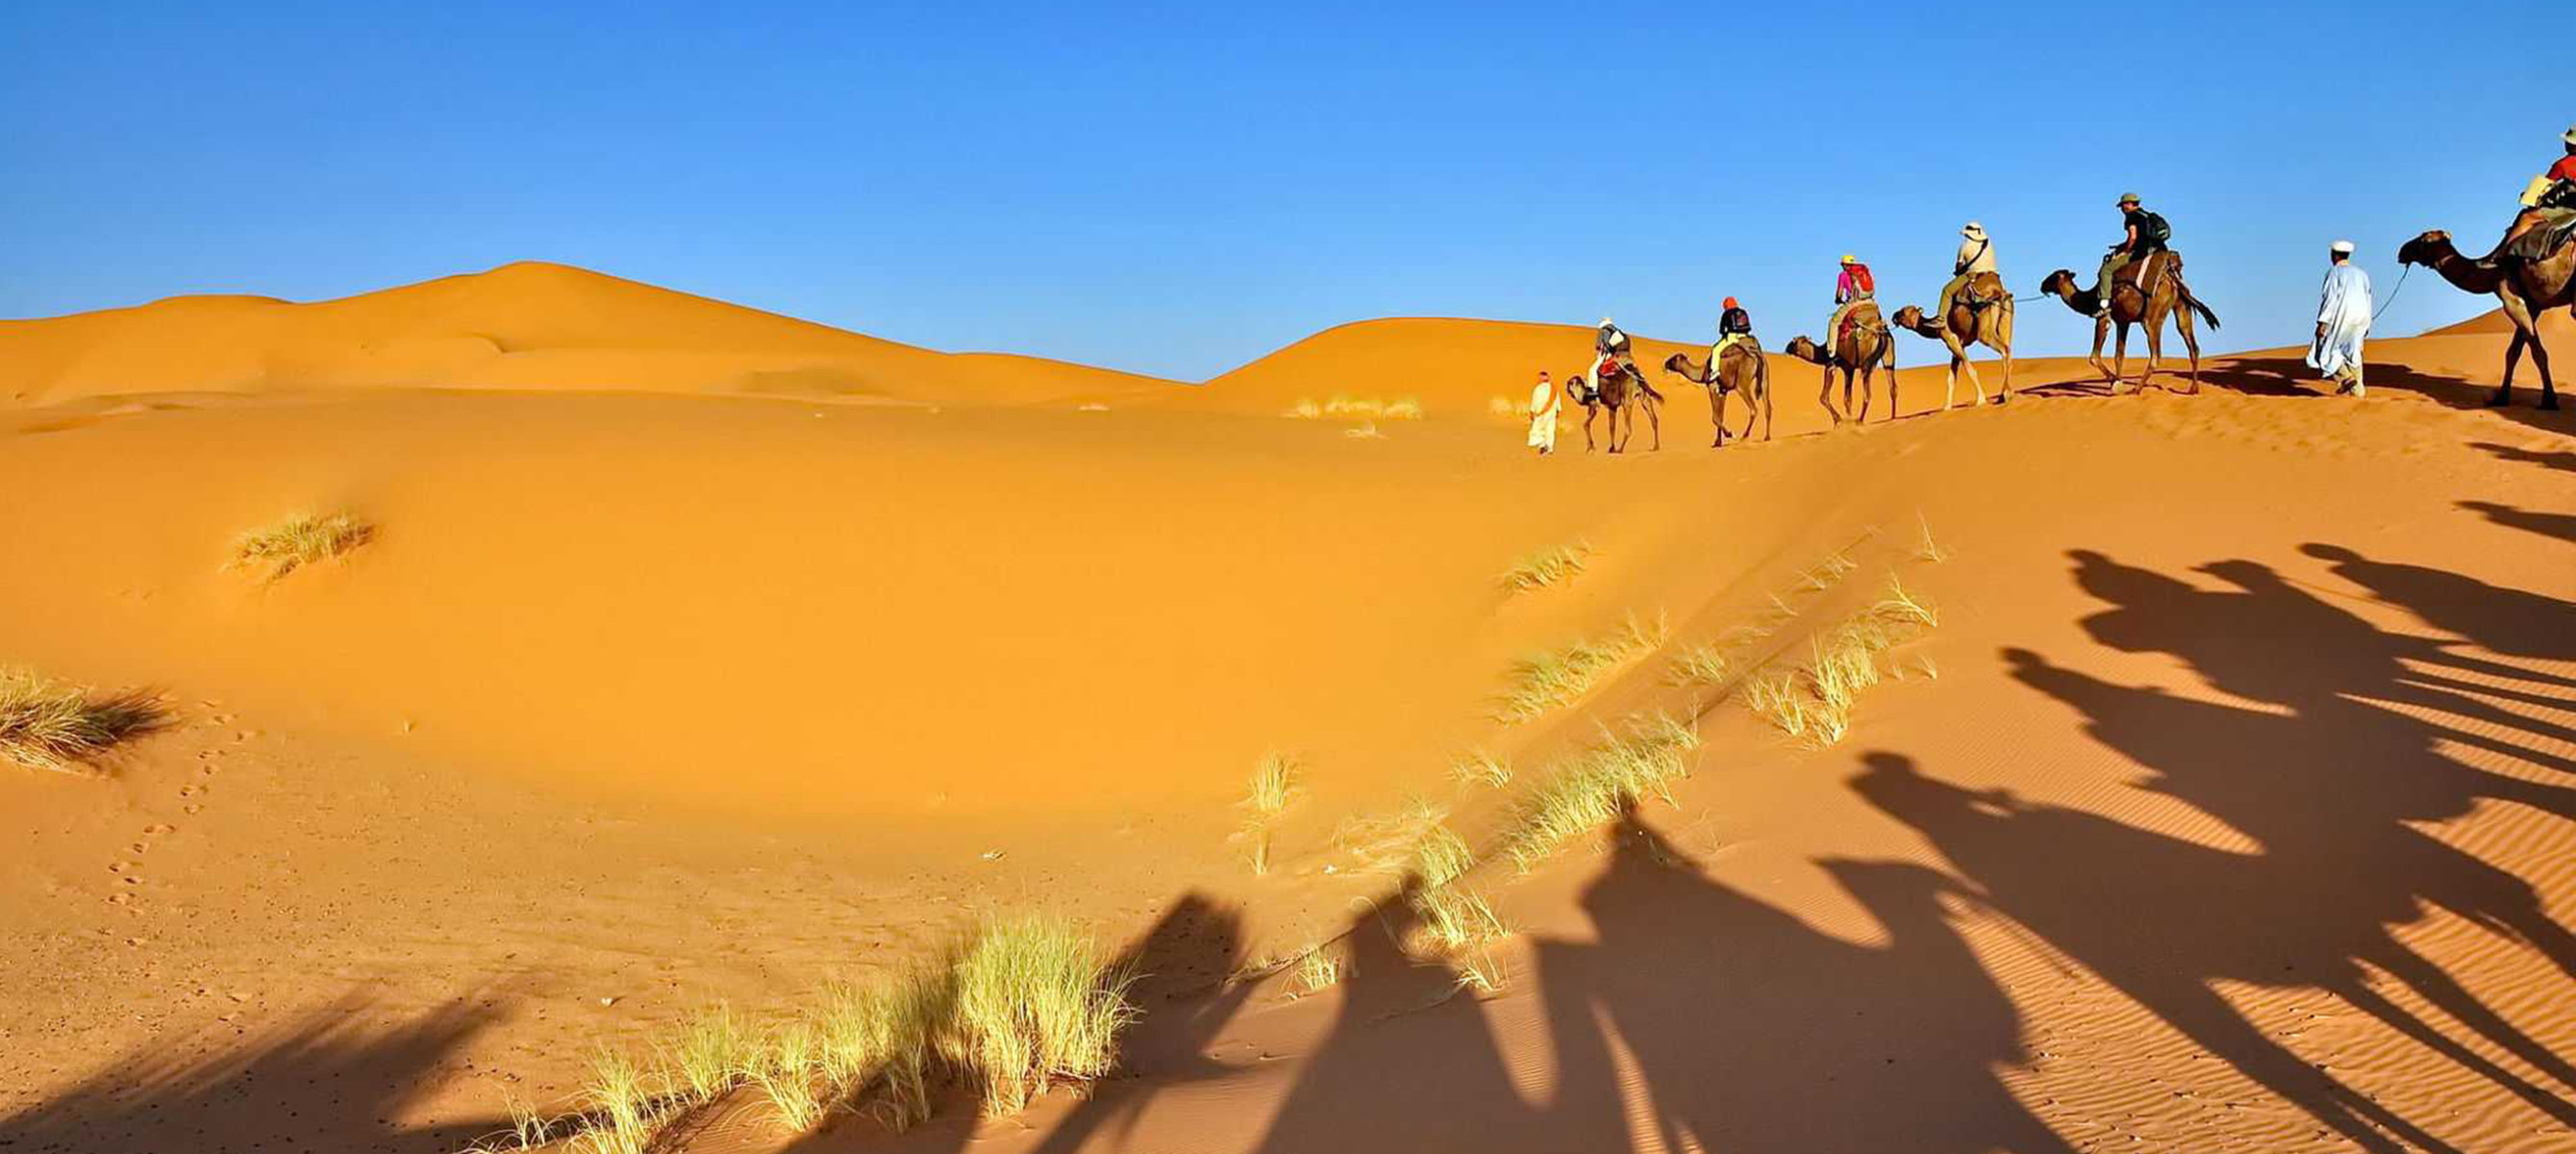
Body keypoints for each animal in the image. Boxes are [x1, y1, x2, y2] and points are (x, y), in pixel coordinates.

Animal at [1782, 300, 1906, 424]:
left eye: (1793, 343)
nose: (1786, 349)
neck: (1822, 352)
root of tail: (1879, 329)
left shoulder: (1835, 365)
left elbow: (1826, 397)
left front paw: (1840, 420)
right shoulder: (1847, 368)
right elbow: (1847, 399)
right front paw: (1847, 420)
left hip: (1866, 363)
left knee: (1867, 394)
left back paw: (1859, 421)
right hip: (1889, 354)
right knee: (1893, 387)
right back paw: (1892, 418)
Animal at [1895, 271, 2009, 409]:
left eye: (1903, 312)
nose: (1894, 316)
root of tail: (1997, 290)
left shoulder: (1951, 339)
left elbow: (1970, 370)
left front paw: (1981, 400)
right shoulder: (1958, 345)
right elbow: (1951, 379)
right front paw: (1947, 407)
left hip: (1984, 330)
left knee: (2004, 349)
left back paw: (2004, 394)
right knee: (2008, 348)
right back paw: (2006, 394)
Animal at [2039, 252, 2225, 396]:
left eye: (2054, 276)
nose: (2042, 285)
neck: (2088, 298)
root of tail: (2171, 277)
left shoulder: (2103, 318)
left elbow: (2094, 356)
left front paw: (2116, 383)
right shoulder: (2123, 322)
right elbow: (2119, 356)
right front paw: (2117, 382)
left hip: (2152, 315)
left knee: (2155, 353)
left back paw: (2136, 389)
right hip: (2180, 305)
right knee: (2191, 342)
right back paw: (2193, 389)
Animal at [2390, 210, 2576, 412]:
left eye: (2423, 239)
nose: (2402, 251)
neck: (2490, 269)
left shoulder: (2511, 299)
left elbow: (2538, 353)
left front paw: (2549, 400)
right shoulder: (2532, 304)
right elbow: (2513, 352)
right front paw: (2501, 397)